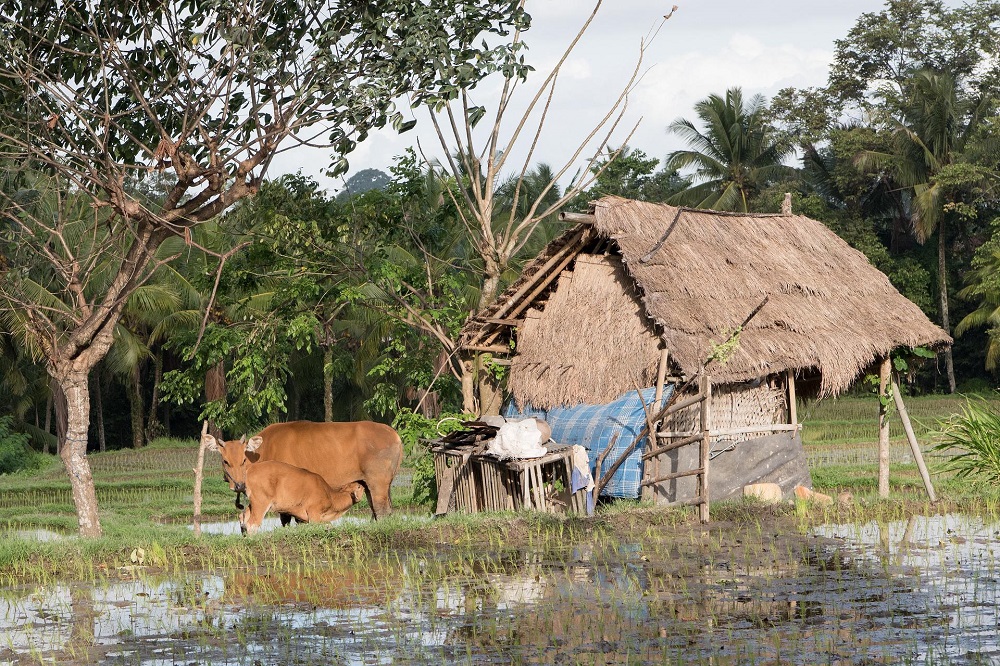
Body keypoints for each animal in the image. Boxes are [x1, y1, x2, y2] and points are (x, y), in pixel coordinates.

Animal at [203, 420, 402, 520]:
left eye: (243, 460)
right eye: (225, 461)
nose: (238, 485)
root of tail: (395, 435)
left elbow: (287, 517)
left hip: (378, 483)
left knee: (382, 511)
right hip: (369, 484)